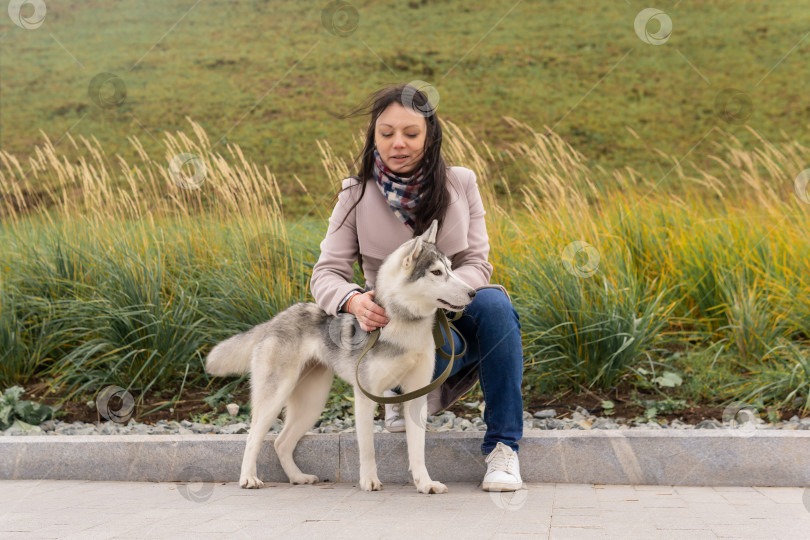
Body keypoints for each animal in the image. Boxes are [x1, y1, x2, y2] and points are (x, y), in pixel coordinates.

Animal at [205, 219, 476, 494]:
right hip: (275, 397)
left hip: (312, 404)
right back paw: (248, 478)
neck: (402, 323)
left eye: (451, 268)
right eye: (436, 273)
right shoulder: (365, 396)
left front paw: (425, 483)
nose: (473, 292)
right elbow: (367, 448)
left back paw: (298, 477)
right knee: (253, 438)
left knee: (281, 443)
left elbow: (418, 450)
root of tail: (276, 319)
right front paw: (369, 480)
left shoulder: (417, 396)